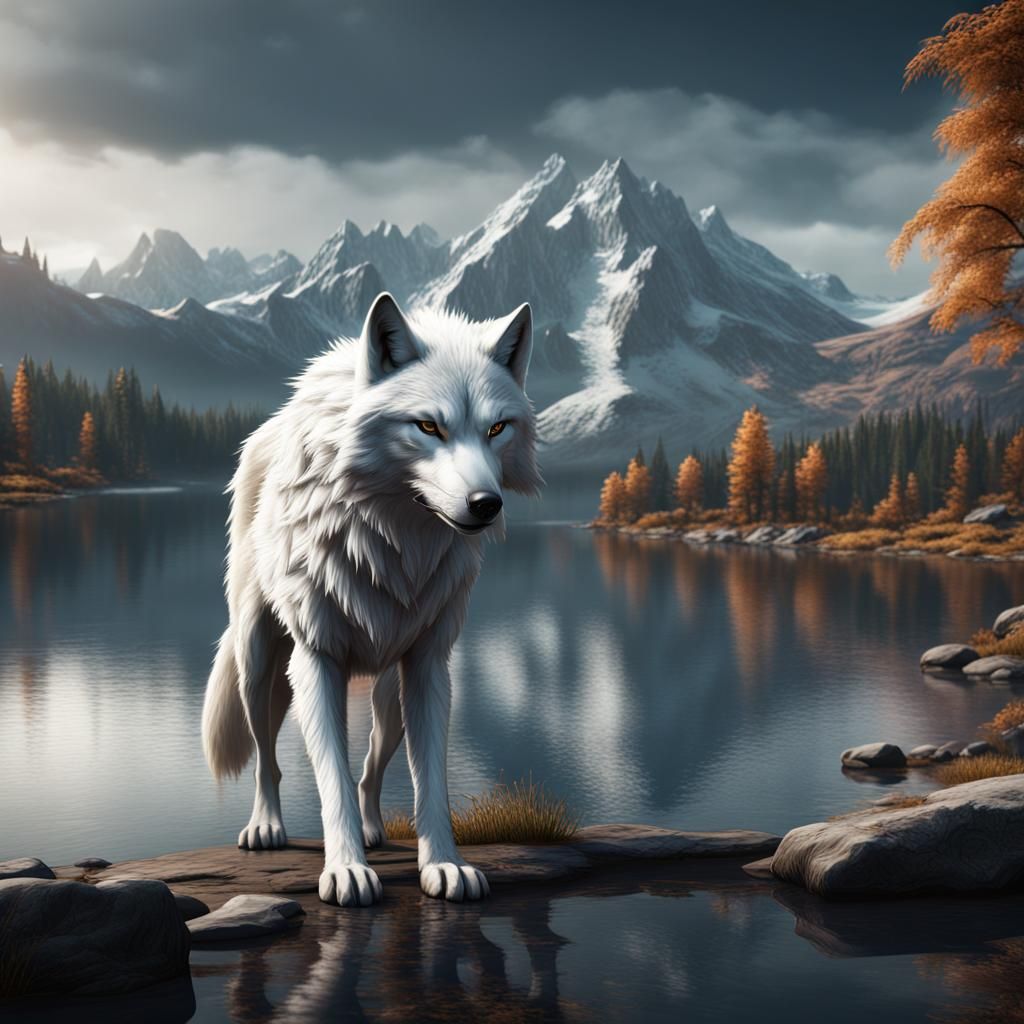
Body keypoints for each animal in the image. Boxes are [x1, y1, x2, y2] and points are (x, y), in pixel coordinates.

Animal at [201, 292, 541, 906]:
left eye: (497, 428)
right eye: (428, 426)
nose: (486, 504)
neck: (393, 538)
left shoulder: (429, 665)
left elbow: (429, 780)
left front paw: (445, 865)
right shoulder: (316, 661)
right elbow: (328, 776)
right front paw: (346, 871)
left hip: (388, 695)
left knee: (370, 770)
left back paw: (374, 830)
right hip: (257, 664)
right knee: (267, 759)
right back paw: (266, 827)